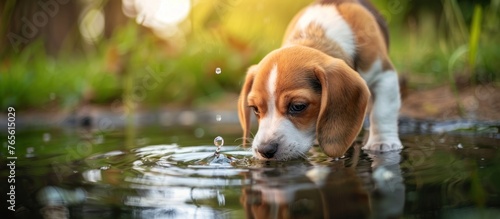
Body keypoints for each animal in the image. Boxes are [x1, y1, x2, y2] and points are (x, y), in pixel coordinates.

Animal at [238, 0, 402, 161]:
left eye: (298, 106)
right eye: (255, 109)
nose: (264, 150)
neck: (316, 34)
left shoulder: (384, 75)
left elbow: (383, 111)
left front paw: (383, 142)